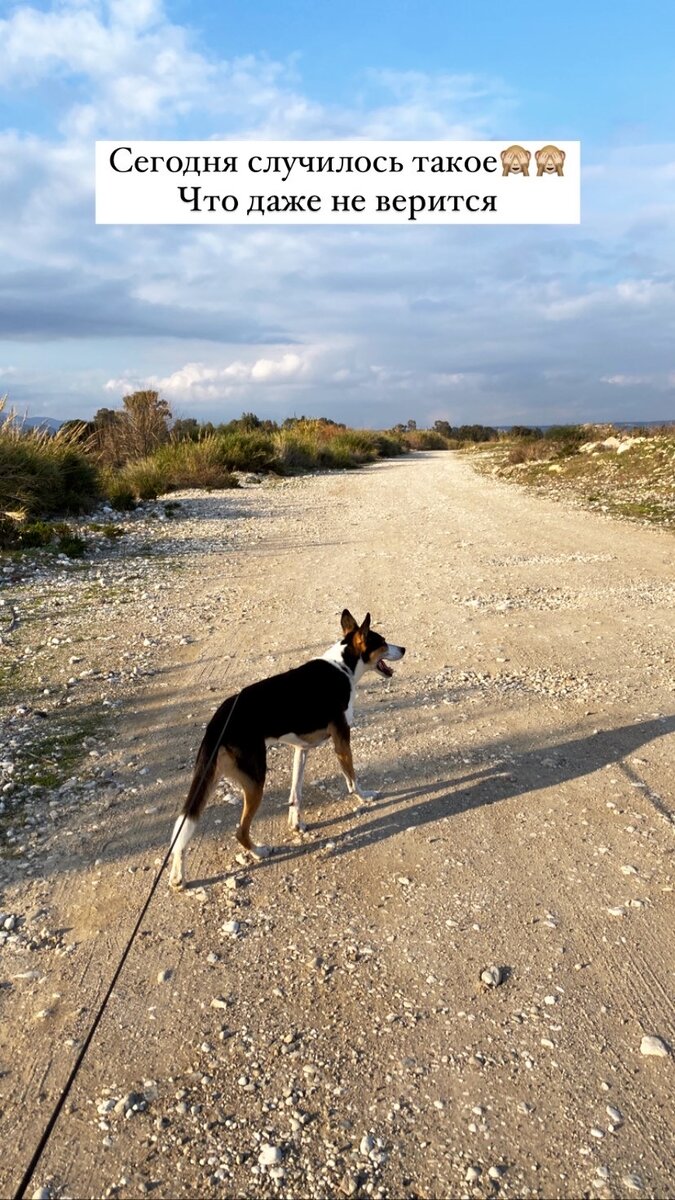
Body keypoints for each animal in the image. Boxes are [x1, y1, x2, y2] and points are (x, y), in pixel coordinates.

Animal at [168, 610, 405, 889]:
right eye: (383, 642)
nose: (403, 648)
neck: (343, 667)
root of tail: (219, 721)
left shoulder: (301, 749)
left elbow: (296, 793)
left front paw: (296, 823)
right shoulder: (342, 740)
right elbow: (352, 778)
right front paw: (364, 796)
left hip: (208, 779)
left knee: (183, 830)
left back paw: (177, 877)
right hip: (255, 781)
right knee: (239, 831)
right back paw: (259, 851)